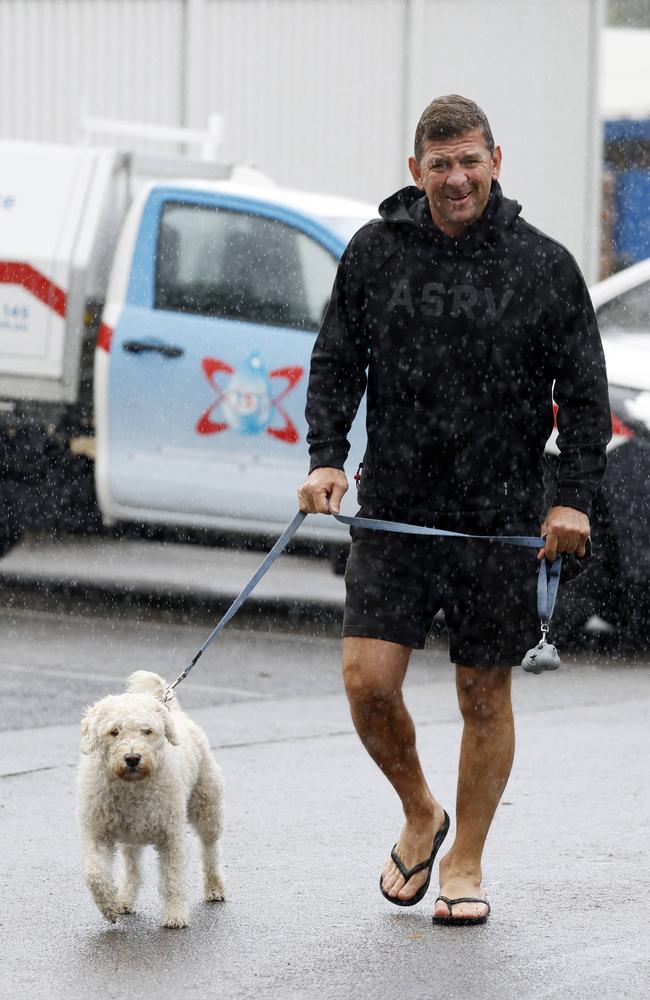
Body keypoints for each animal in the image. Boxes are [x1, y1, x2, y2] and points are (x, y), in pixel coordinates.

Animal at [77, 672, 224, 928]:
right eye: (114, 731)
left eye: (147, 731)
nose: (132, 758)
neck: (132, 788)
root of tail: (173, 713)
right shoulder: (97, 833)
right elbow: (95, 874)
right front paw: (109, 906)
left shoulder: (171, 837)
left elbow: (172, 879)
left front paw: (175, 915)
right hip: (130, 839)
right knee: (133, 871)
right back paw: (124, 900)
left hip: (207, 809)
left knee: (210, 851)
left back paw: (214, 888)